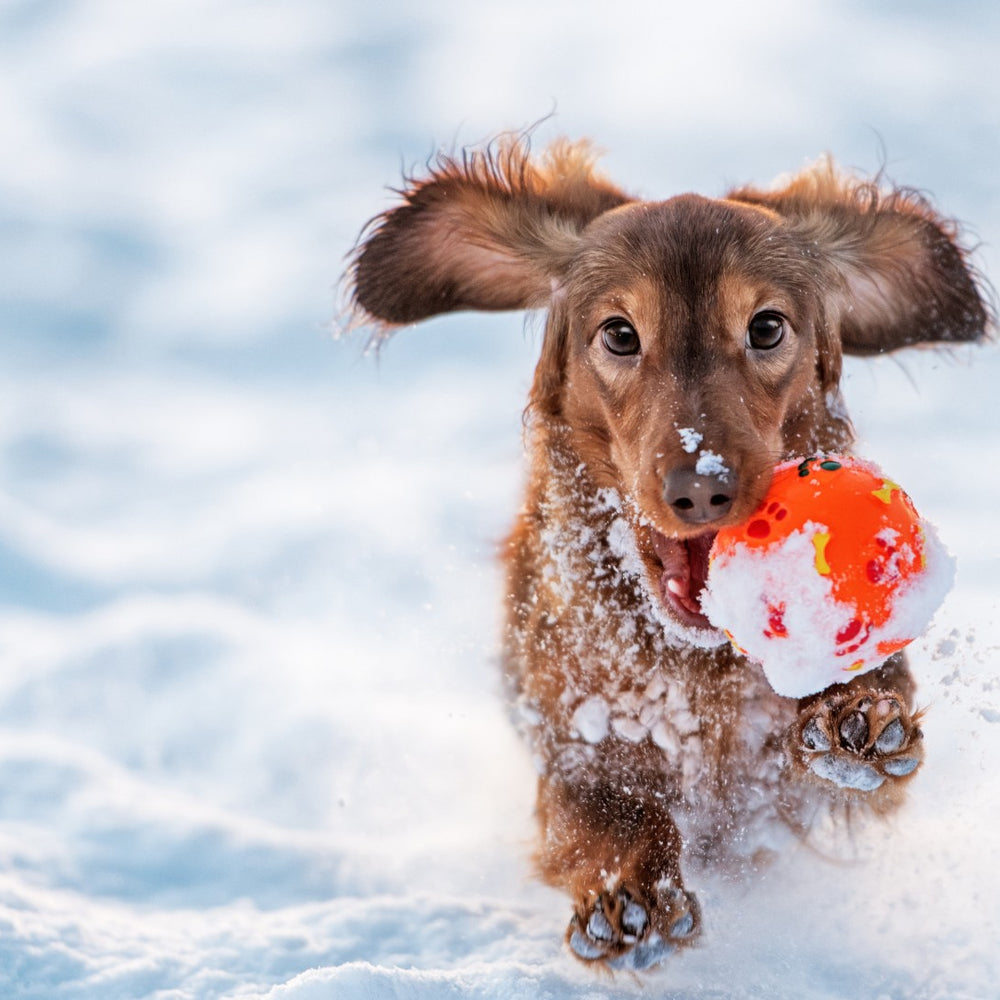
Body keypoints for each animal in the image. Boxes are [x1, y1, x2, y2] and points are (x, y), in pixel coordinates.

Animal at [348, 137, 988, 972]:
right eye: (620, 334)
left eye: (767, 327)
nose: (701, 488)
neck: (693, 668)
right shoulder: (570, 741)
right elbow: (604, 811)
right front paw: (630, 897)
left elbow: (862, 735)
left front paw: (855, 715)